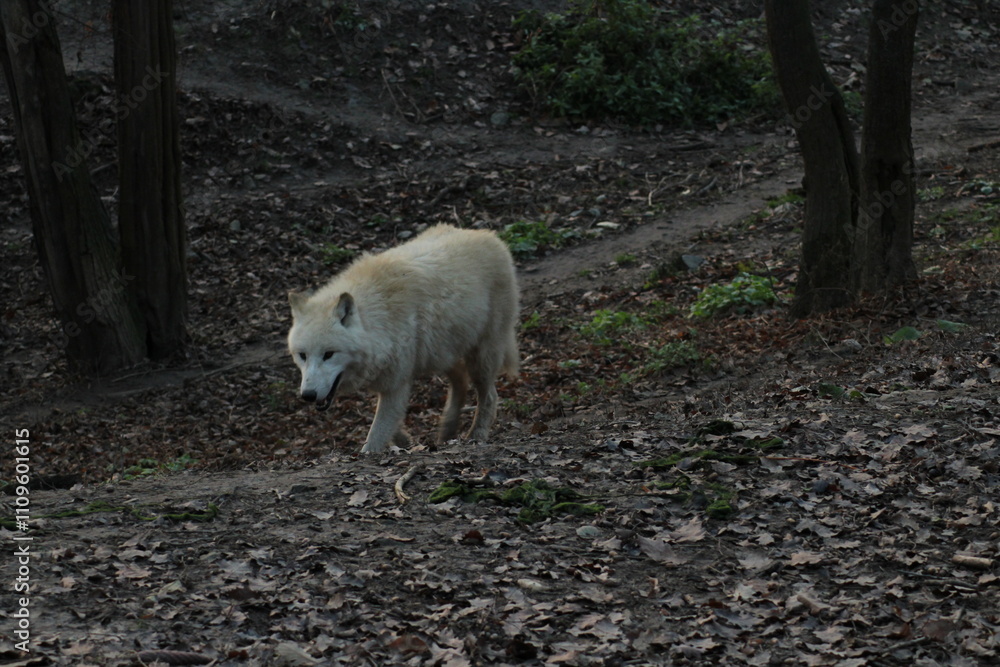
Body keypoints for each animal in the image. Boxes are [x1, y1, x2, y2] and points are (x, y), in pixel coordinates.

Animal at [287, 224, 520, 455]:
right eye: (302, 356)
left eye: (328, 354)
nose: (308, 395)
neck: (376, 319)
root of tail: (490, 236)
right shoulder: (388, 377)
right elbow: (389, 424)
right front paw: (405, 442)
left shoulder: (396, 383)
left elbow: (376, 436)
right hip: (441, 353)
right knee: (461, 379)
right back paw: (448, 429)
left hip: (481, 357)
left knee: (489, 396)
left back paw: (476, 435)